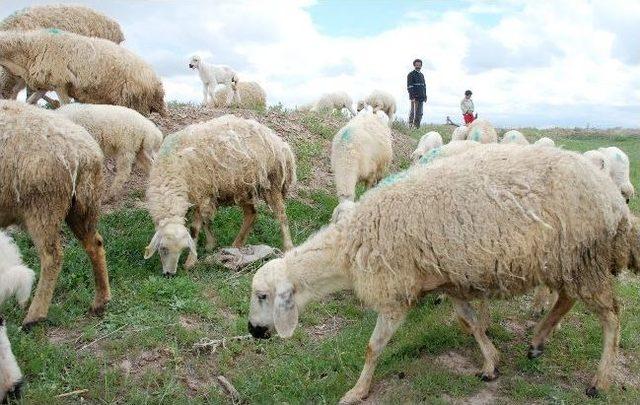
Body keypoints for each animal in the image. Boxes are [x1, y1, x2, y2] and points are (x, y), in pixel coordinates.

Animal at [0, 29, 168, 115]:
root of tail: (156, 80)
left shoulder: (61, 83)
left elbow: (64, 105)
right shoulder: (47, 84)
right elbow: (30, 101)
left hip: (134, 99)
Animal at [0, 101, 110, 328]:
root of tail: (85, 152)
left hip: (43, 205)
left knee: (52, 257)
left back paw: (34, 316)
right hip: (81, 205)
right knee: (95, 243)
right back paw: (100, 301)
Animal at [144, 113, 296, 274]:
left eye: (182, 249)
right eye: (162, 249)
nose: (169, 274)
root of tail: (280, 143)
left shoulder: (201, 193)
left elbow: (195, 228)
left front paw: (191, 262)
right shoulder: (203, 195)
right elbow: (205, 221)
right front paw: (211, 244)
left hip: (271, 182)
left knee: (281, 215)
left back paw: (288, 247)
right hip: (242, 186)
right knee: (251, 214)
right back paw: (236, 245)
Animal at [248, 143, 636, 400]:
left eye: (263, 295)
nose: (253, 330)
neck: (349, 247)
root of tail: (614, 199)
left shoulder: (396, 293)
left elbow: (373, 347)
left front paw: (357, 390)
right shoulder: (447, 282)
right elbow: (471, 323)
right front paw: (491, 362)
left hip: (582, 256)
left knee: (613, 316)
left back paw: (599, 380)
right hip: (567, 259)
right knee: (568, 298)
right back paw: (538, 339)